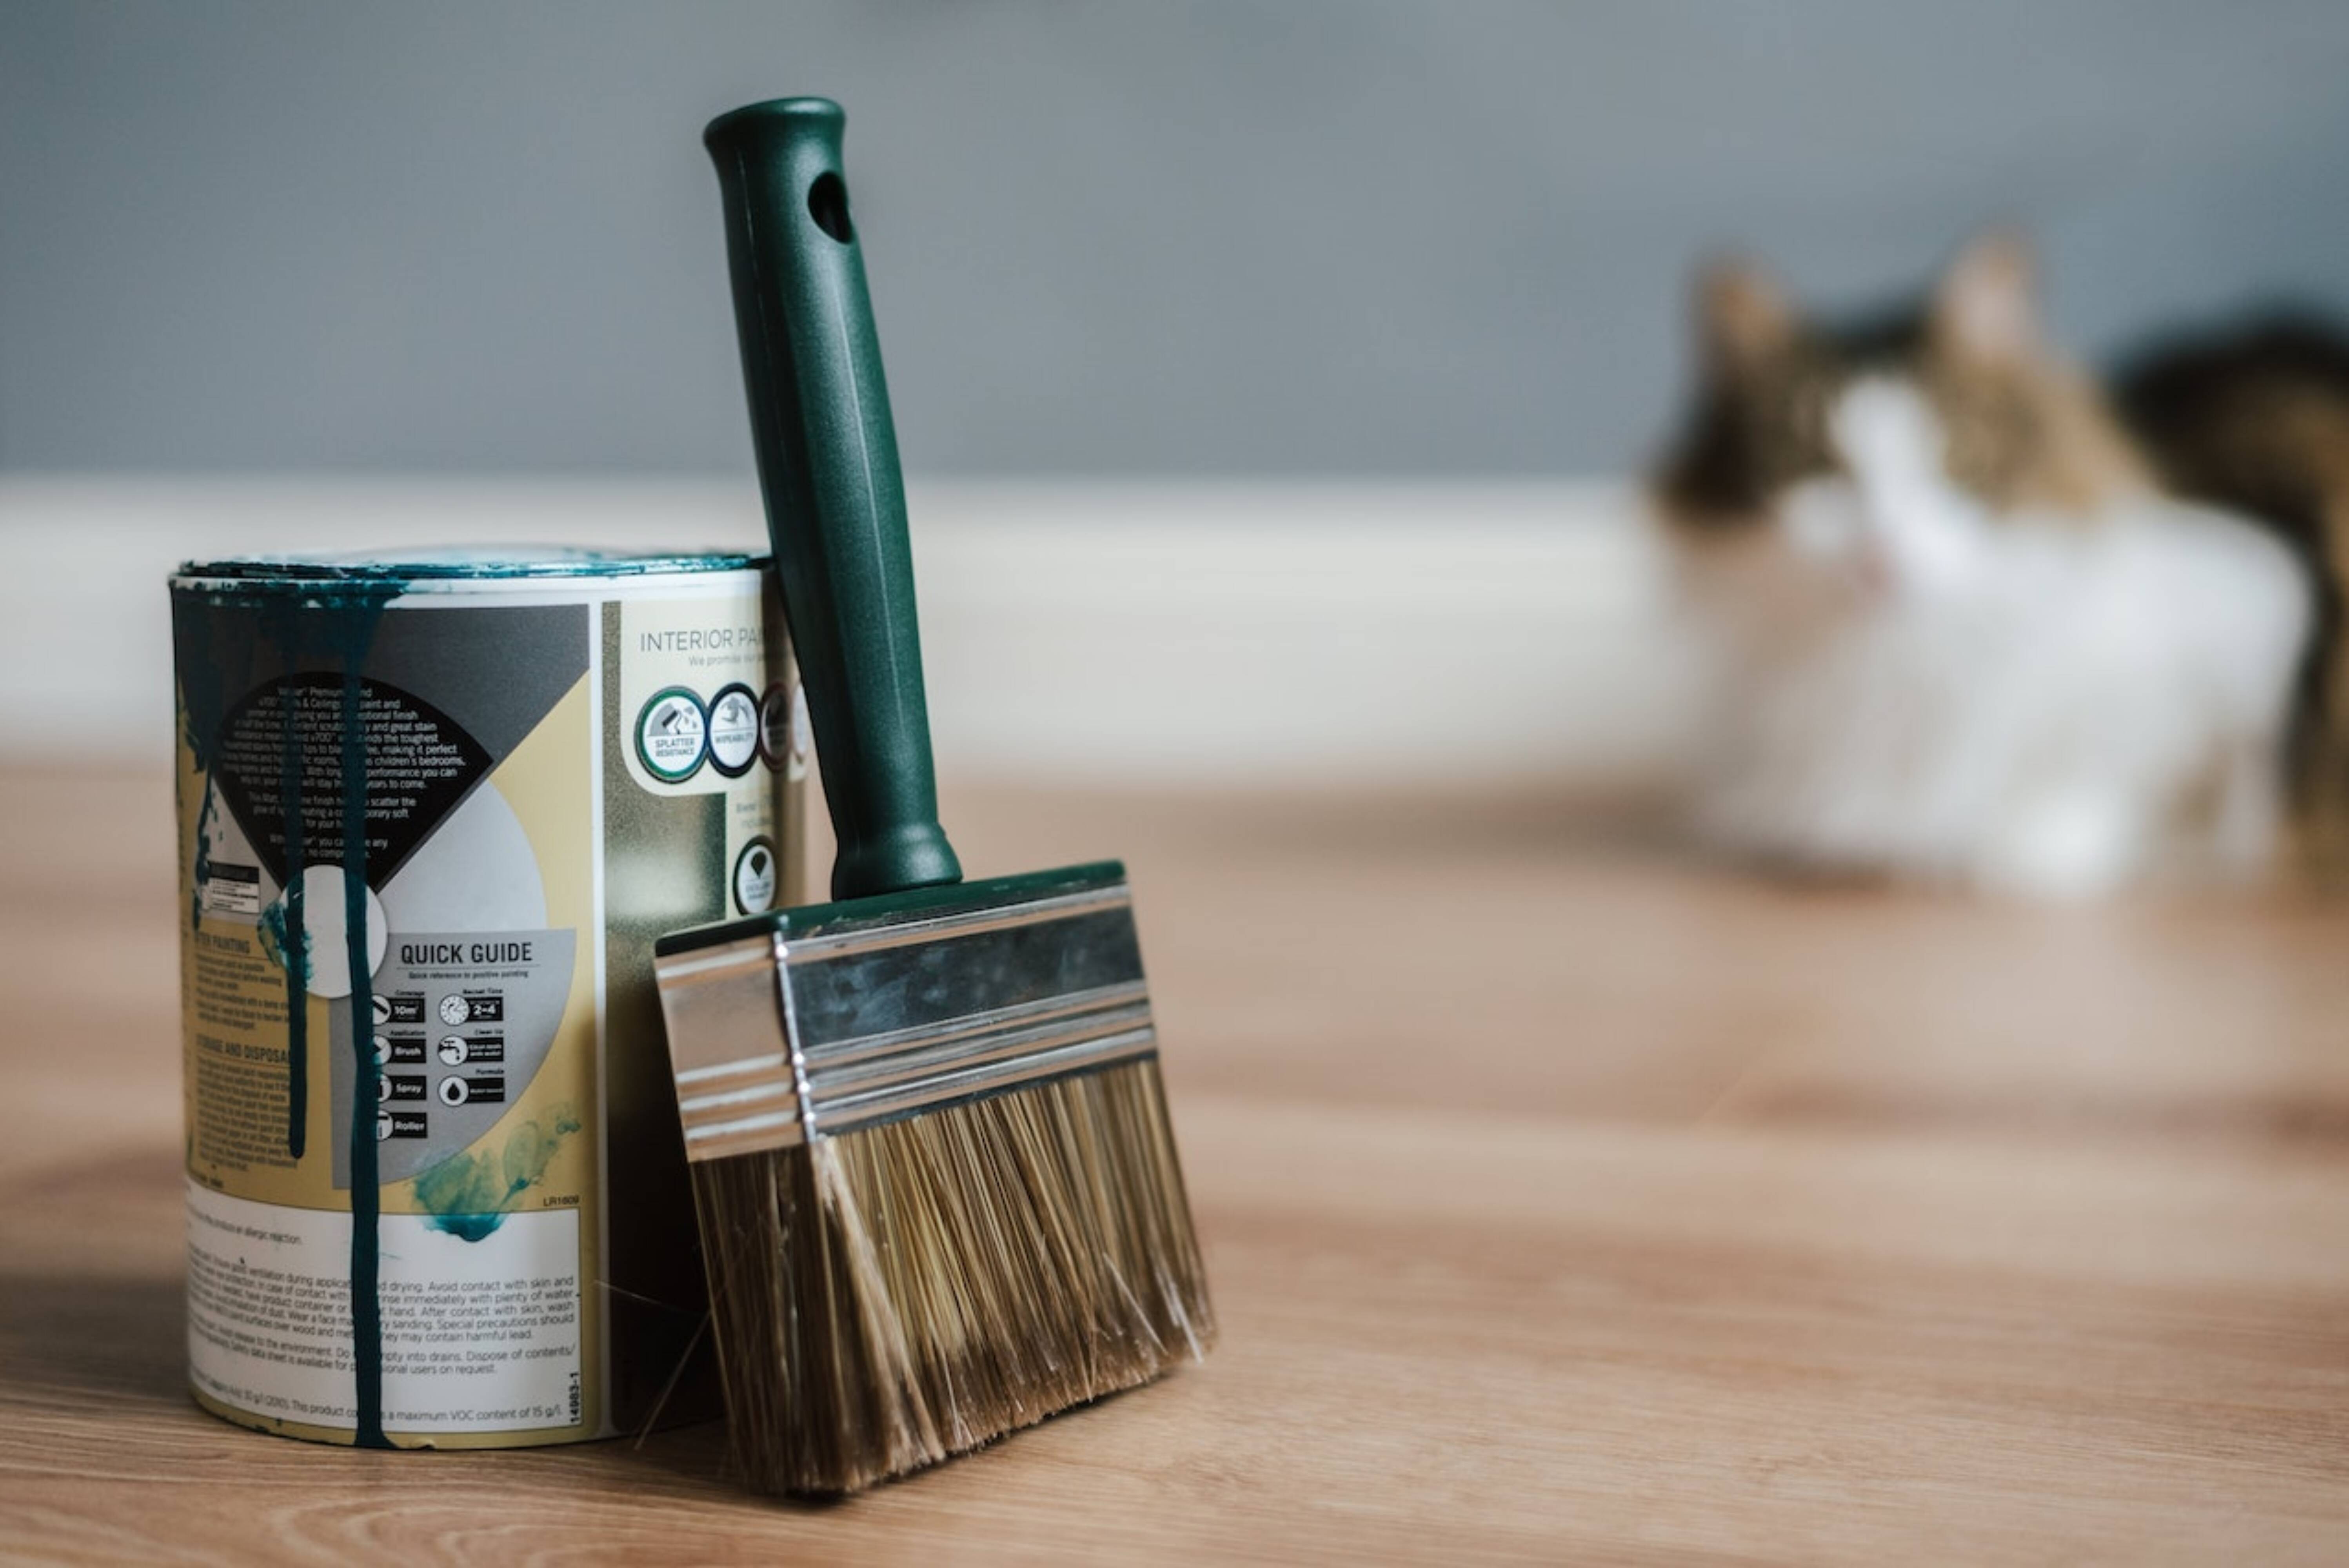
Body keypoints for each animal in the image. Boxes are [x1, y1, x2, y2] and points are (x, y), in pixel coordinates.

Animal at [1653, 232, 2349, 892]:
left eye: (1953, 456)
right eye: (1811, 466)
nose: (1877, 554)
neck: (1893, 665)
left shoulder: (2258, 599)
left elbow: (2135, 771)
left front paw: (2010, 841)